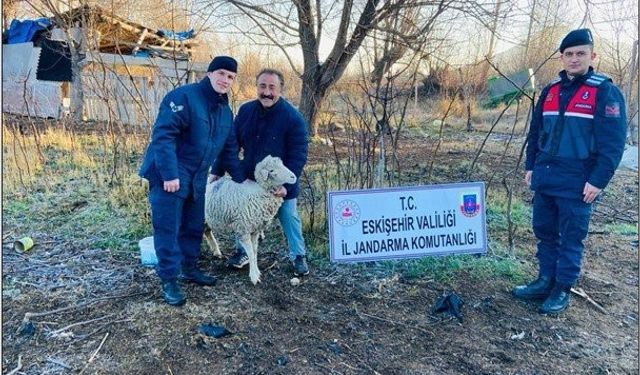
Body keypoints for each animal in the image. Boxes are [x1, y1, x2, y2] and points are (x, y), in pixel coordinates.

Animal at [204, 156, 296, 284]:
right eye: (271, 170)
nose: (293, 177)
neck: (260, 192)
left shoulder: (255, 230)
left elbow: (255, 251)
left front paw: (257, 271)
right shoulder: (243, 229)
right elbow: (251, 253)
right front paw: (254, 276)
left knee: (207, 232)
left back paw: (216, 251)